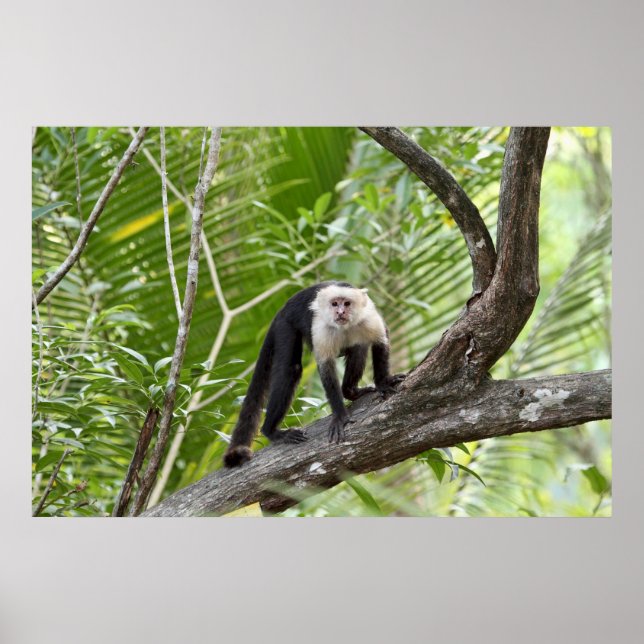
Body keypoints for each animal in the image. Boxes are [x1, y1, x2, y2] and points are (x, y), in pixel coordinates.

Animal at [223, 281, 405, 467]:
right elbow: (326, 367)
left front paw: (383, 383)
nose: (340, 312)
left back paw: (350, 391)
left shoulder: (368, 318)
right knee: (291, 370)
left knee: (358, 346)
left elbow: (381, 339)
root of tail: (283, 309)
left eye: (346, 303)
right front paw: (340, 416)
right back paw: (271, 431)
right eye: (334, 304)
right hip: (285, 324)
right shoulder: (321, 327)